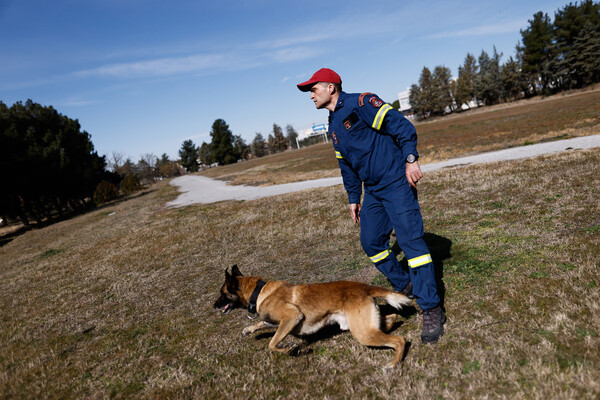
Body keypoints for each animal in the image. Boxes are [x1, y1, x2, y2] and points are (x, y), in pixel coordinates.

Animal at [213, 264, 414, 370]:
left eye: (222, 293)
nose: (214, 306)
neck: (258, 291)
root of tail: (364, 287)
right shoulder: (276, 321)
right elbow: (262, 323)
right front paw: (249, 329)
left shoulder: (291, 317)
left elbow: (272, 343)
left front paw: (289, 349)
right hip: (365, 326)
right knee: (392, 317)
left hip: (363, 333)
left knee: (399, 340)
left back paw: (393, 365)